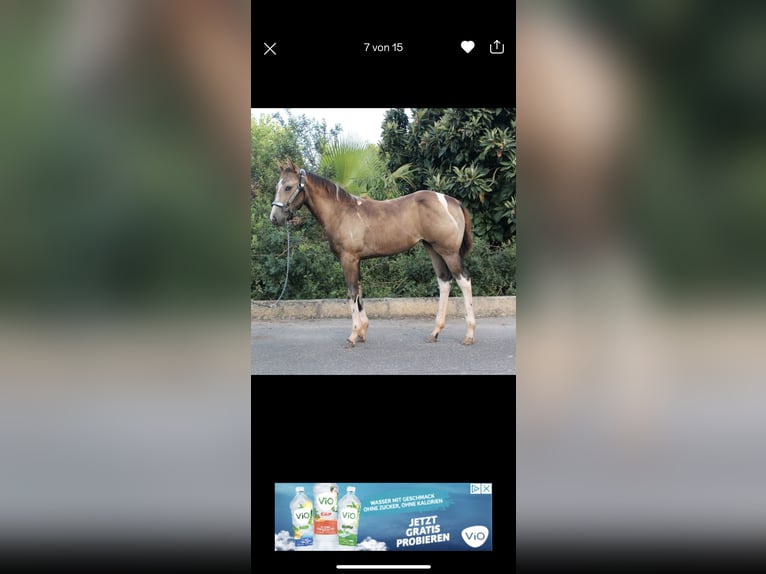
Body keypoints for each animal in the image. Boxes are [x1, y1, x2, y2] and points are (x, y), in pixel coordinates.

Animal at [269, 158, 476, 348]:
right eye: (277, 185)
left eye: (288, 187)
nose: (274, 218)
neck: (341, 212)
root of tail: (453, 201)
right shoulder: (357, 260)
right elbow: (359, 292)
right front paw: (362, 332)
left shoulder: (349, 259)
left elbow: (351, 292)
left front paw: (352, 336)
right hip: (433, 249)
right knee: (444, 281)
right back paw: (435, 332)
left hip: (448, 252)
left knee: (463, 280)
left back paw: (469, 335)